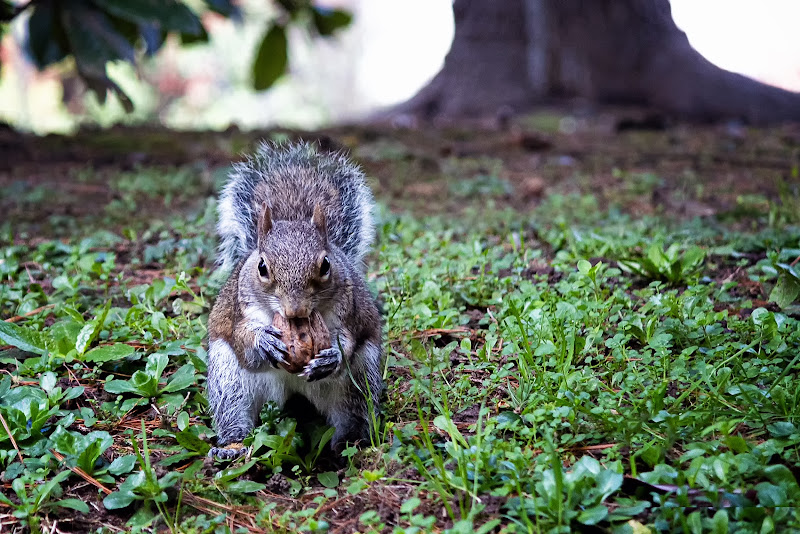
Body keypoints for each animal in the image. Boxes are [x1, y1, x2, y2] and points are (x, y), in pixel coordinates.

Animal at [205, 142, 382, 460]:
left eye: (325, 265)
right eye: (262, 267)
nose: (295, 310)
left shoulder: (347, 312)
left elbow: (347, 341)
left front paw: (333, 356)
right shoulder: (240, 310)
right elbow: (242, 338)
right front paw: (263, 342)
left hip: (360, 377)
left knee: (355, 410)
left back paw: (351, 442)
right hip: (229, 378)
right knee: (232, 410)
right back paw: (231, 446)